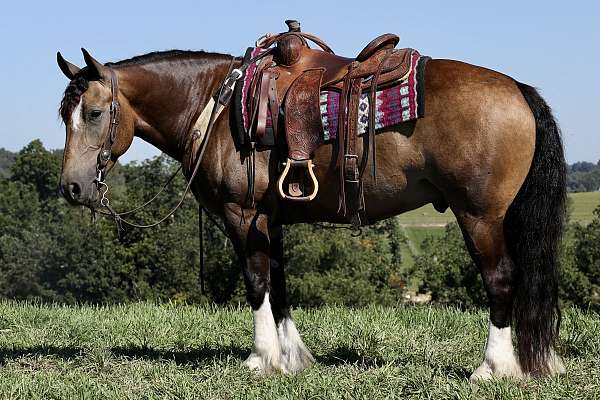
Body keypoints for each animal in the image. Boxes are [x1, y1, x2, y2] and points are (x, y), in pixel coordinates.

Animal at [54, 23, 564, 380]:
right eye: (64, 115)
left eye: (94, 113)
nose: (72, 188)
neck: (216, 106)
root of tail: (518, 90)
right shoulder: (270, 218)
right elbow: (279, 285)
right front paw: (293, 357)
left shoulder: (243, 216)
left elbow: (257, 282)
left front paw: (261, 358)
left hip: (480, 216)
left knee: (501, 280)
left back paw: (493, 367)